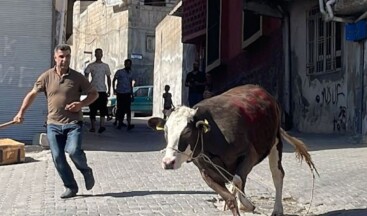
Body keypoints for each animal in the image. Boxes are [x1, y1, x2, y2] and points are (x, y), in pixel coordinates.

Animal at [148, 84, 318, 216]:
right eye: (166, 131)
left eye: (187, 132)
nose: (168, 162)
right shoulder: (205, 171)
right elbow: (229, 196)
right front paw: (235, 203)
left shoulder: (249, 154)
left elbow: (236, 182)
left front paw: (246, 204)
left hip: (275, 142)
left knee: (277, 175)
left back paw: (277, 209)